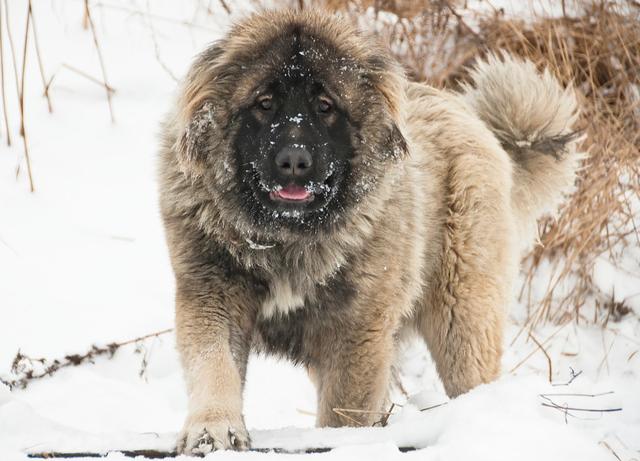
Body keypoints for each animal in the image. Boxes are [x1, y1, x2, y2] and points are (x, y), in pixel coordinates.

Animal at [158, 8, 584, 452]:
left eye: (325, 106)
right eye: (264, 103)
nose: (294, 161)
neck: (289, 240)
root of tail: (476, 123)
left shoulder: (357, 332)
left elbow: (345, 409)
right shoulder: (213, 295)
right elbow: (214, 366)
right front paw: (213, 430)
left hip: (462, 319)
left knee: (473, 378)